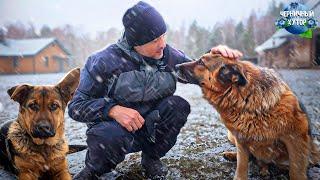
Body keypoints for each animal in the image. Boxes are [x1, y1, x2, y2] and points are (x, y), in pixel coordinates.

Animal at [176, 53, 318, 180]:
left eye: (201, 62)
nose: (176, 66)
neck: (242, 98)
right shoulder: (241, 139)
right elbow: (242, 165)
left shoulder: (296, 138)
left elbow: (296, 171)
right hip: (232, 136)